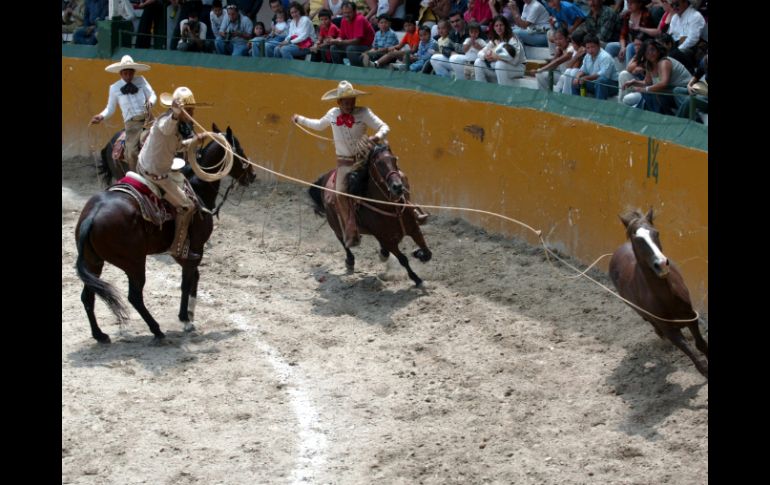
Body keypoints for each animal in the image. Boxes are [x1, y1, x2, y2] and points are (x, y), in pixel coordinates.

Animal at [72, 125, 254, 344]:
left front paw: (189, 316)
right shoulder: (196, 247)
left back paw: (99, 334)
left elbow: (193, 277)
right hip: (134, 263)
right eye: (240, 150)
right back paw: (156, 330)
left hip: (93, 263)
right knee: (134, 296)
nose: (252, 175)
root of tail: (92, 216)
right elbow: (187, 281)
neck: (197, 188)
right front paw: (185, 319)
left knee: (87, 296)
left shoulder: (182, 251)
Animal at [308, 146, 432, 286]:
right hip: (336, 225)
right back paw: (350, 261)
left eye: (394, 160)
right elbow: (403, 259)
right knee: (342, 240)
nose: (398, 187)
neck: (391, 208)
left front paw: (418, 253)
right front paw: (416, 278)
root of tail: (326, 178)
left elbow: (427, 252)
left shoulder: (414, 229)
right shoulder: (388, 240)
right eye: (378, 164)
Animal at [608, 206, 708, 376]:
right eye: (637, 239)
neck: (667, 298)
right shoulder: (669, 330)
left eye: (656, 233)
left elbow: (701, 345)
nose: (661, 264)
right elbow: (695, 358)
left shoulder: (691, 316)